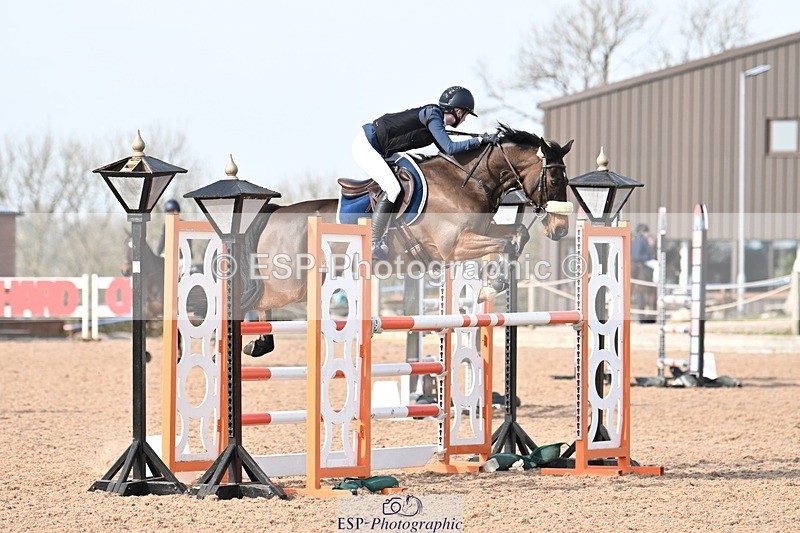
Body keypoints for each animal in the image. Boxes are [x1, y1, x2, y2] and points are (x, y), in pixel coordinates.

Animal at [240, 125, 574, 356]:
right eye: (555, 179)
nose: (560, 229)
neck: (466, 182)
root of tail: (275, 212)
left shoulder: (480, 232)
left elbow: (517, 236)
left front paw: (491, 284)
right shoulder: (454, 246)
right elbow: (505, 244)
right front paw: (490, 286)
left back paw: (260, 343)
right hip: (290, 284)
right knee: (254, 301)